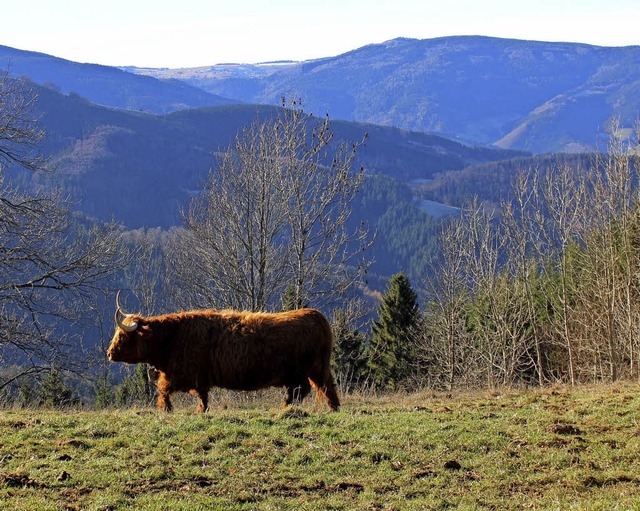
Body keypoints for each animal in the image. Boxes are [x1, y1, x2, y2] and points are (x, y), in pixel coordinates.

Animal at [106, 294, 340, 414]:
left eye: (123, 336)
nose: (109, 353)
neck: (170, 337)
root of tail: (315, 315)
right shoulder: (198, 377)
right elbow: (201, 396)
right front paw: (201, 411)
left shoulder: (183, 373)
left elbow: (163, 389)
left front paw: (166, 409)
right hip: (317, 369)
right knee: (326, 387)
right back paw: (333, 408)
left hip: (299, 372)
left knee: (300, 391)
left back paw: (284, 409)